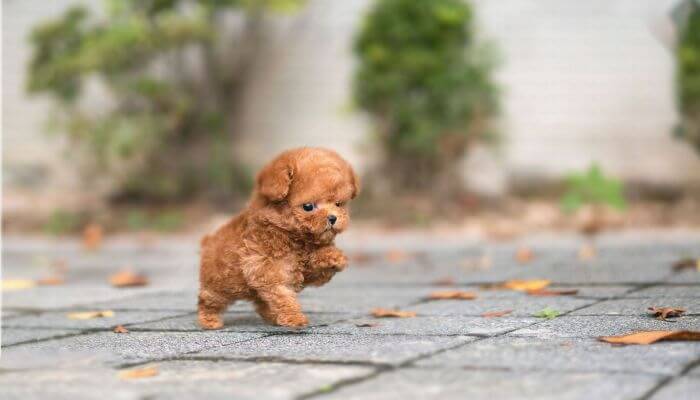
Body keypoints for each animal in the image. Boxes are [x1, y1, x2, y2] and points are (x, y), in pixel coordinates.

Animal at [198, 147, 358, 328]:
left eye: (338, 204)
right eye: (308, 206)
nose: (332, 218)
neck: (293, 237)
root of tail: (208, 240)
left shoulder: (303, 272)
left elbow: (314, 265)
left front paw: (334, 257)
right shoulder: (266, 270)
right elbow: (282, 295)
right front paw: (294, 317)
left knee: (261, 302)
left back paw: (272, 317)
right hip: (220, 285)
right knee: (208, 300)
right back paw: (209, 320)